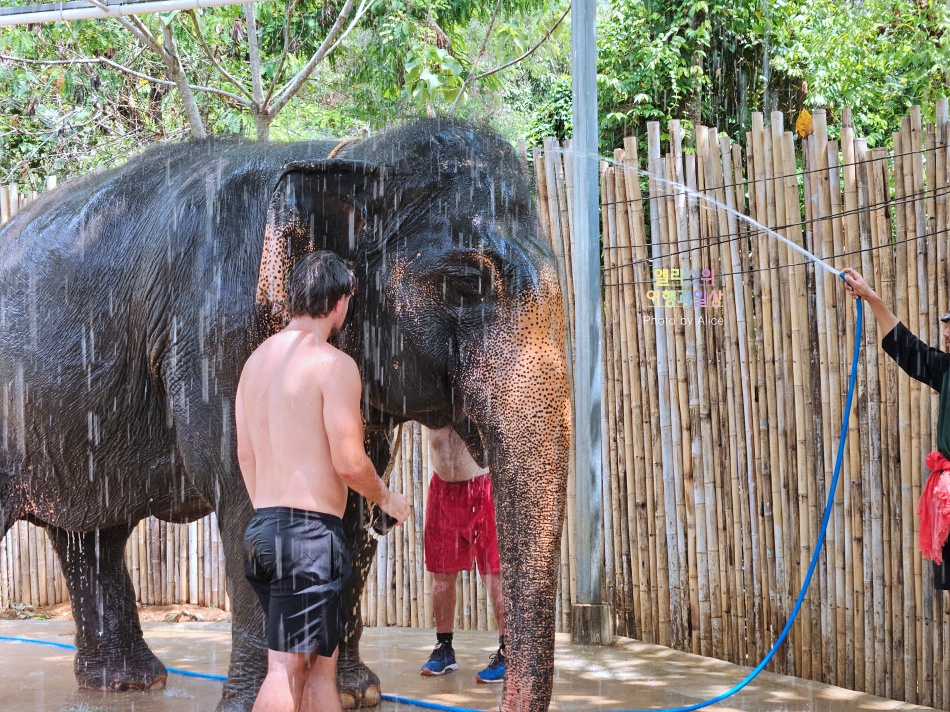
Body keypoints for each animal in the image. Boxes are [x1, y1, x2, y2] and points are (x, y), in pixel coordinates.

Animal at [0, 119, 572, 708]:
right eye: (463, 283)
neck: (352, 156)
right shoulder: (216, 341)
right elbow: (251, 491)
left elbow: (351, 500)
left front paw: (356, 695)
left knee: (92, 534)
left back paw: (129, 682)